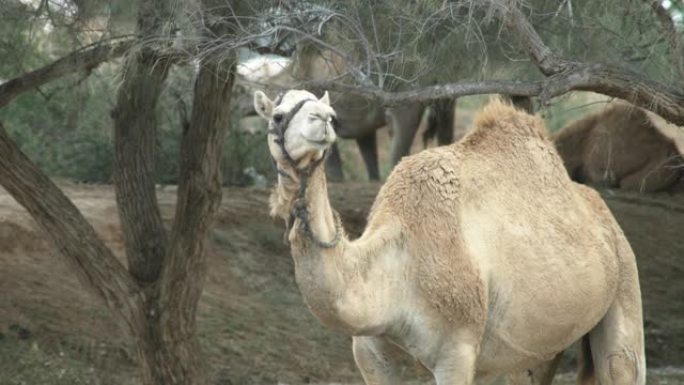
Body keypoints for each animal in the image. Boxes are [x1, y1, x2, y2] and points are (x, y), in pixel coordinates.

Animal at [255, 90, 648, 384]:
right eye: (277, 116)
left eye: (332, 113)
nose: (322, 119)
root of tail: (604, 216)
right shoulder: (370, 354)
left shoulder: (456, 352)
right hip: (541, 343)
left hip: (625, 281)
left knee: (622, 362)